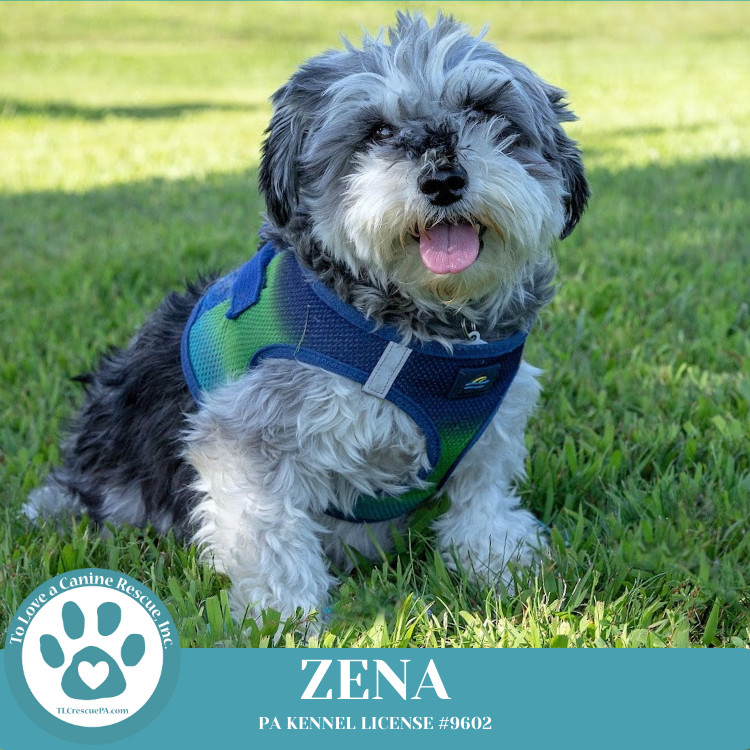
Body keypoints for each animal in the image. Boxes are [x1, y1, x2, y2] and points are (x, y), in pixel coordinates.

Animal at [23, 13, 592, 628]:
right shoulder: (248, 437)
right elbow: (268, 534)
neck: (420, 328)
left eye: (485, 111)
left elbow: (481, 503)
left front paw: (507, 570)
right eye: (376, 133)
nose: (443, 180)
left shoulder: (491, 432)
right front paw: (288, 618)